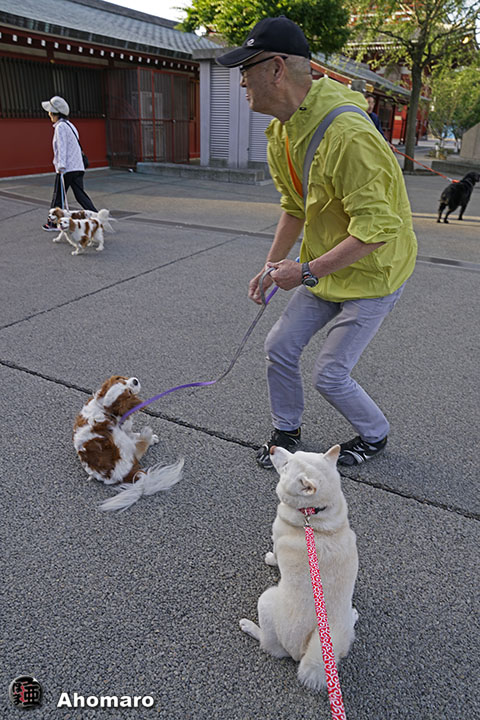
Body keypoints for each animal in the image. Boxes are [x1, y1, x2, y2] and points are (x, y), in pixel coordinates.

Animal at [73, 375, 183, 511]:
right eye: (129, 393)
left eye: (123, 380)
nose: (135, 381)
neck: (103, 406)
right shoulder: (123, 430)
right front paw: (152, 438)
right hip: (122, 442)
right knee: (140, 447)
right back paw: (148, 435)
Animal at [240, 445, 358, 692]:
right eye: (295, 453)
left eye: (286, 466)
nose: (273, 448)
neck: (315, 515)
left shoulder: (277, 537)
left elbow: (275, 556)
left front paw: (269, 559)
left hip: (266, 601)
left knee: (270, 647)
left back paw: (248, 626)